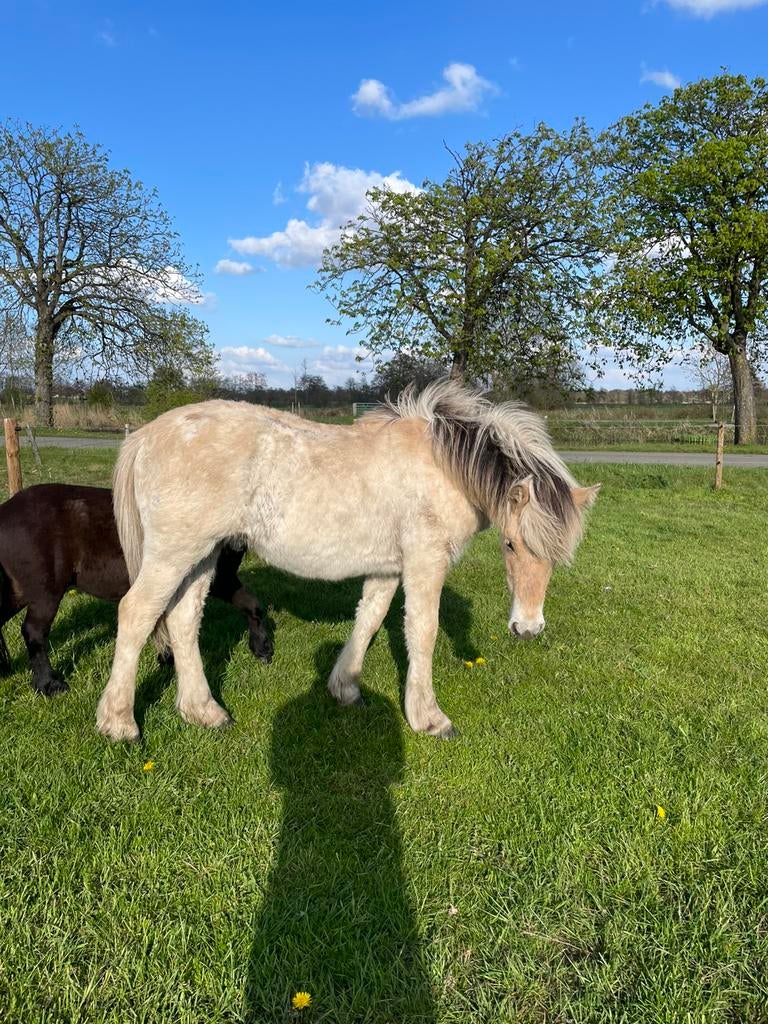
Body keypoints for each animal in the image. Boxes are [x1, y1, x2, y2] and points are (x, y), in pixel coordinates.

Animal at [96, 380, 600, 743]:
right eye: (511, 545)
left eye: (556, 558)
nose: (528, 628)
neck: (441, 467)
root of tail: (148, 434)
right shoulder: (425, 562)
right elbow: (423, 631)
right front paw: (429, 718)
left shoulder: (388, 567)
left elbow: (369, 620)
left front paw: (346, 688)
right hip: (174, 554)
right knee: (137, 613)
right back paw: (119, 723)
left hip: (204, 556)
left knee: (182, 621)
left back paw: (203, 712)